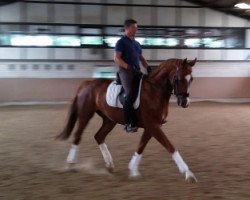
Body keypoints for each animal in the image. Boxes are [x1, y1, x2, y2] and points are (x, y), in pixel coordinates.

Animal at [57, 57, 198, 183]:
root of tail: (86, 83)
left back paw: (109, 165)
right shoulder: (153, 125)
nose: (185, 102)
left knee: (99, 136)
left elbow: (140, 147)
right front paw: (189, 174)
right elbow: (170, 147)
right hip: (85, 115)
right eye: (178, 78)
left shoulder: (152, 126)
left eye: (191, 79)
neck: (155, 91)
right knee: (77, 136)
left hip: (109, 120)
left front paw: (133, 171)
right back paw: (71, 164)